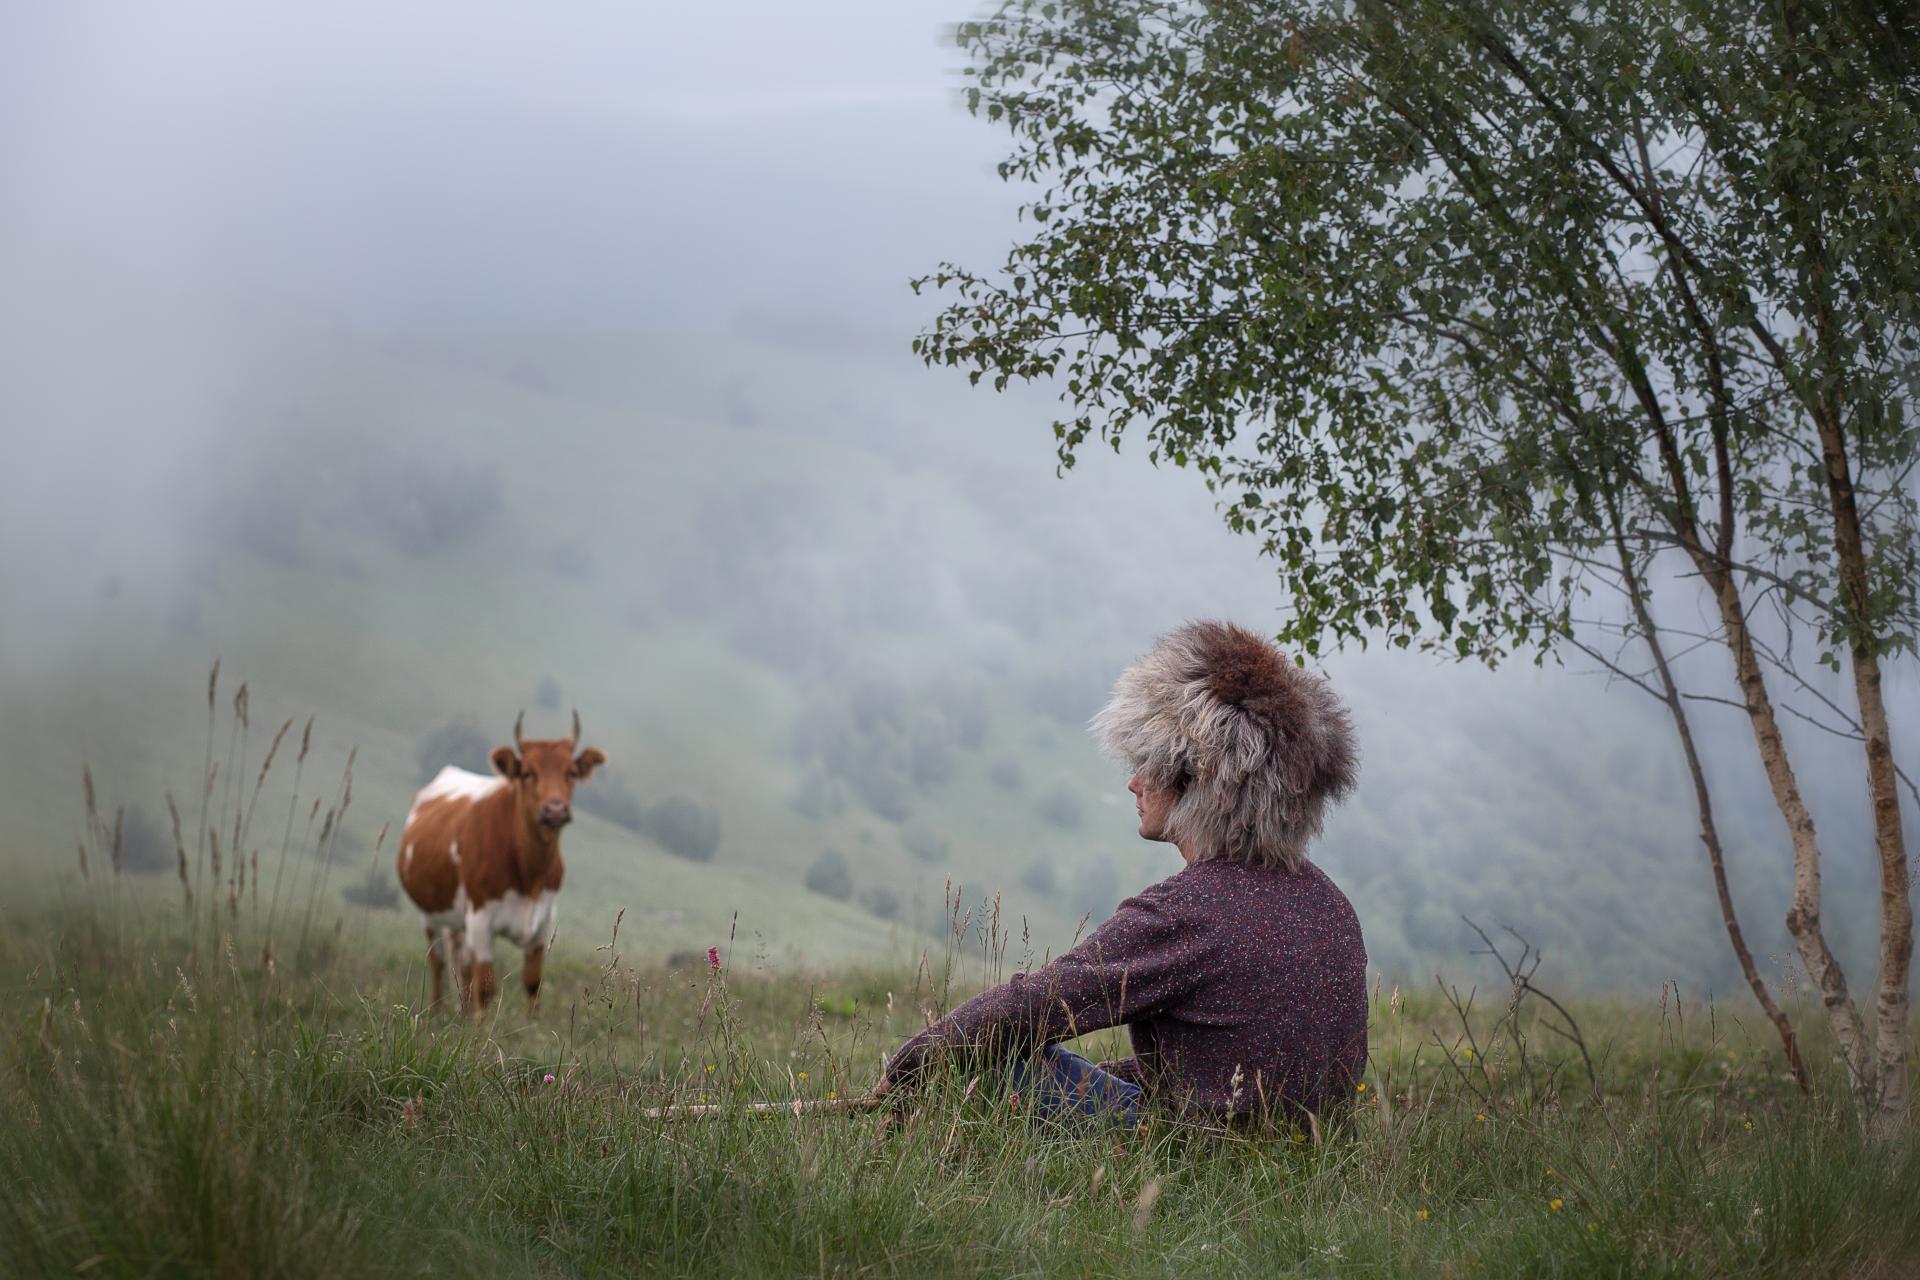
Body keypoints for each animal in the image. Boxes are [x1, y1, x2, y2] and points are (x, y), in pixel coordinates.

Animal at [389, 710, 599, 1020]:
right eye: (527, 773)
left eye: (571, 772)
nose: (555, 810)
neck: (529, 871)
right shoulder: (481, 918)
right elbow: (486, 986)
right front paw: (481, 1030)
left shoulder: (543, 921)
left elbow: (532, 982)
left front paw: (531, 1027)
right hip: (429, 912)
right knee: (438, 963)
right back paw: (437, 1012)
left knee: (462, 965)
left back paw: (462, 1013)